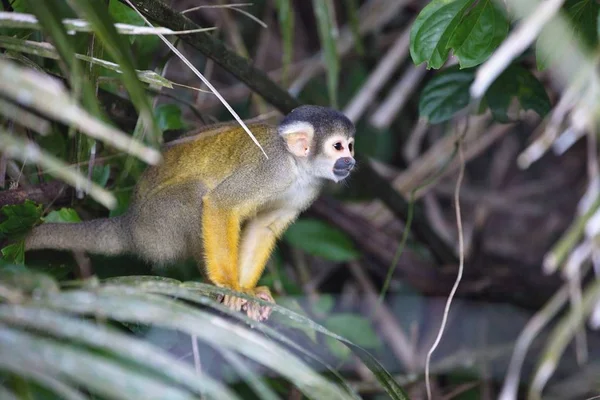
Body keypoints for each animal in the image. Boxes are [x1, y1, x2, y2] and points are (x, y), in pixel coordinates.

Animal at [24, 104, 356, 320]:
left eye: (351, 146)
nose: (351, 162)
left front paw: (247, 291)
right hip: (157, 226)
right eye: (338, 147)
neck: (297, 165)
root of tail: (128, 224)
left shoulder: (309, 188)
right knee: (197, 193)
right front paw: (229, 286)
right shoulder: (270, 168)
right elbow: (222, 204)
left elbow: (264, 225)